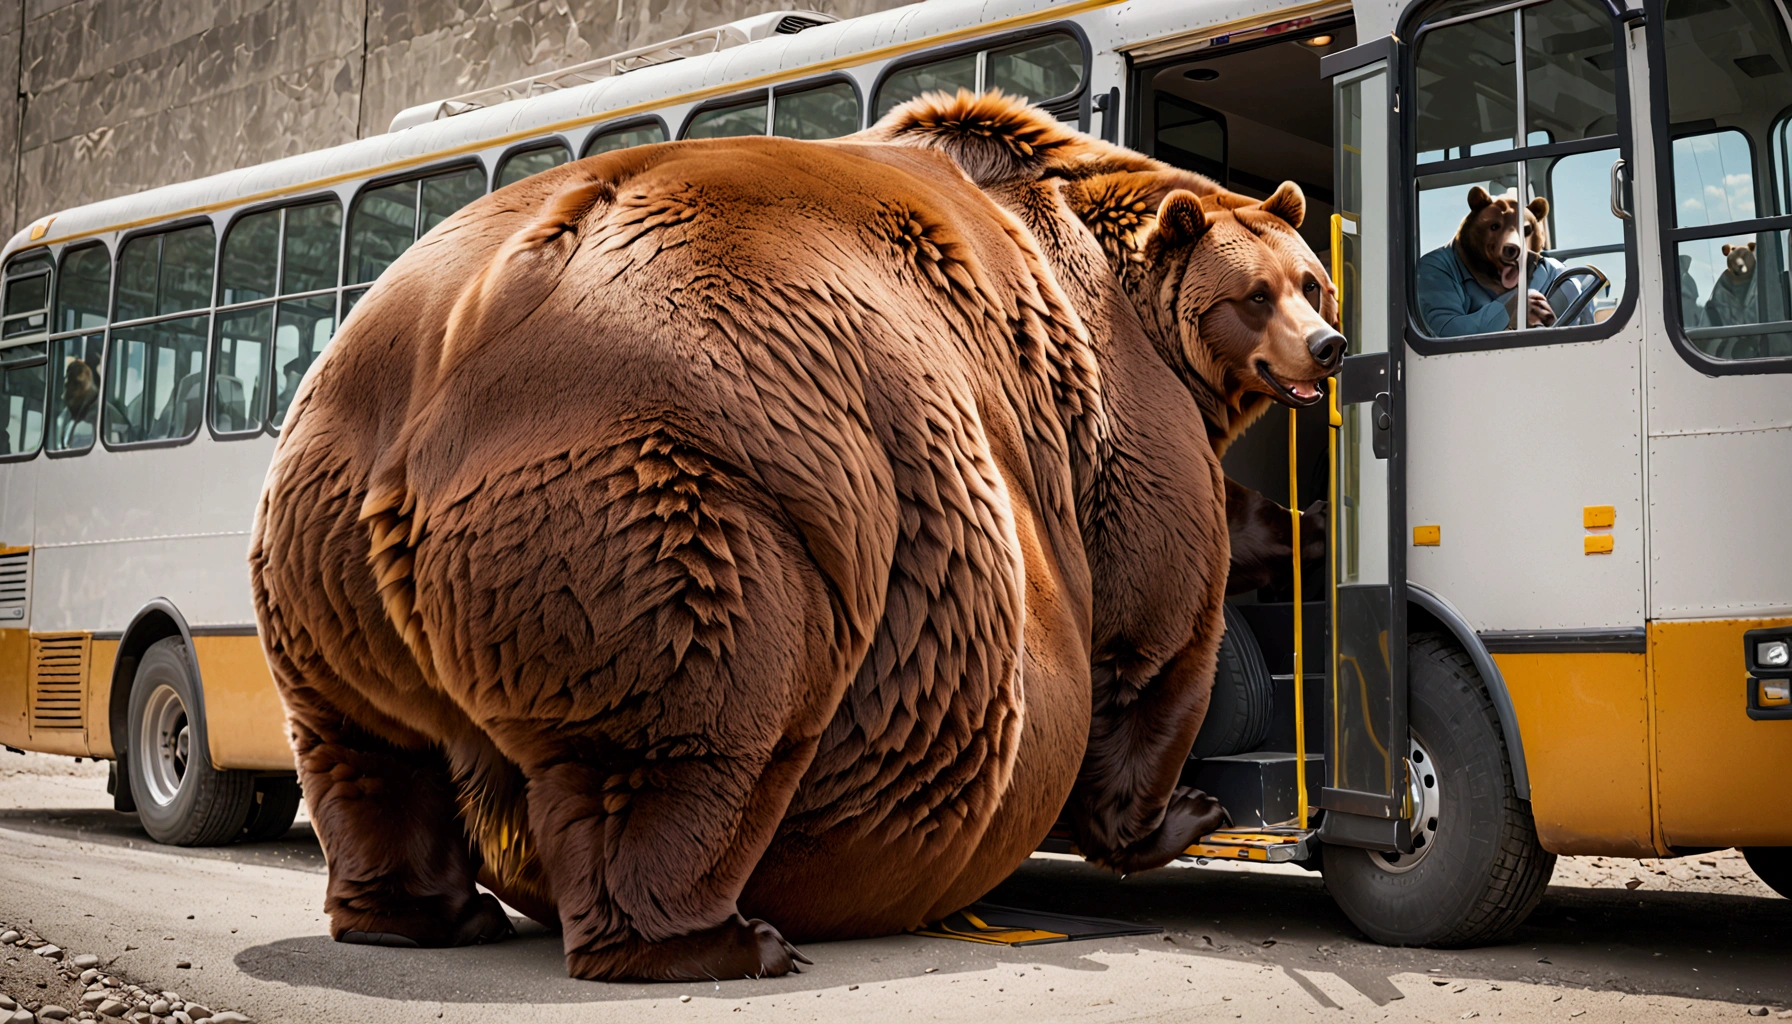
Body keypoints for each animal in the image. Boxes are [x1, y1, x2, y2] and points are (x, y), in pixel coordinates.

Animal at [256, 94, 1333, 982]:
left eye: (1311, 281)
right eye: (1257, 294)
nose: (1326, 348)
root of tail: (466, 320)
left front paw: (1307, 528)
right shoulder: (1123, 426)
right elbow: (1156, 637)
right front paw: (1184, 812)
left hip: (324, 507)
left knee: (364, 739)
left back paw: (419, 914)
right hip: (700, 471)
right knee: (695, 718)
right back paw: (720, 939)